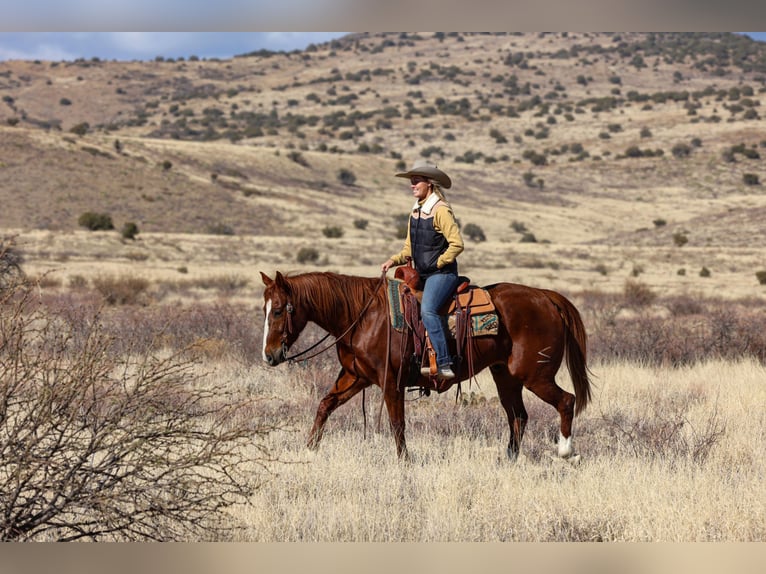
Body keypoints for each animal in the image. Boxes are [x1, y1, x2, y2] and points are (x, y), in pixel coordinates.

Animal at [260, 270, 592, 464]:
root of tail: (546, 297)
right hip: (506, 377)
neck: (362, 316)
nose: (269, 355)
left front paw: (405, 462)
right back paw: (508, 459)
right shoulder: (355, 376)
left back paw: (566, 452)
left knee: (566, 401)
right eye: (264, 309)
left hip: (535, 375)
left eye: (277, 311)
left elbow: (397, 423)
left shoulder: (390, 381)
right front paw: (309, 448)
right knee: (518, 416)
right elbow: (325, 405)